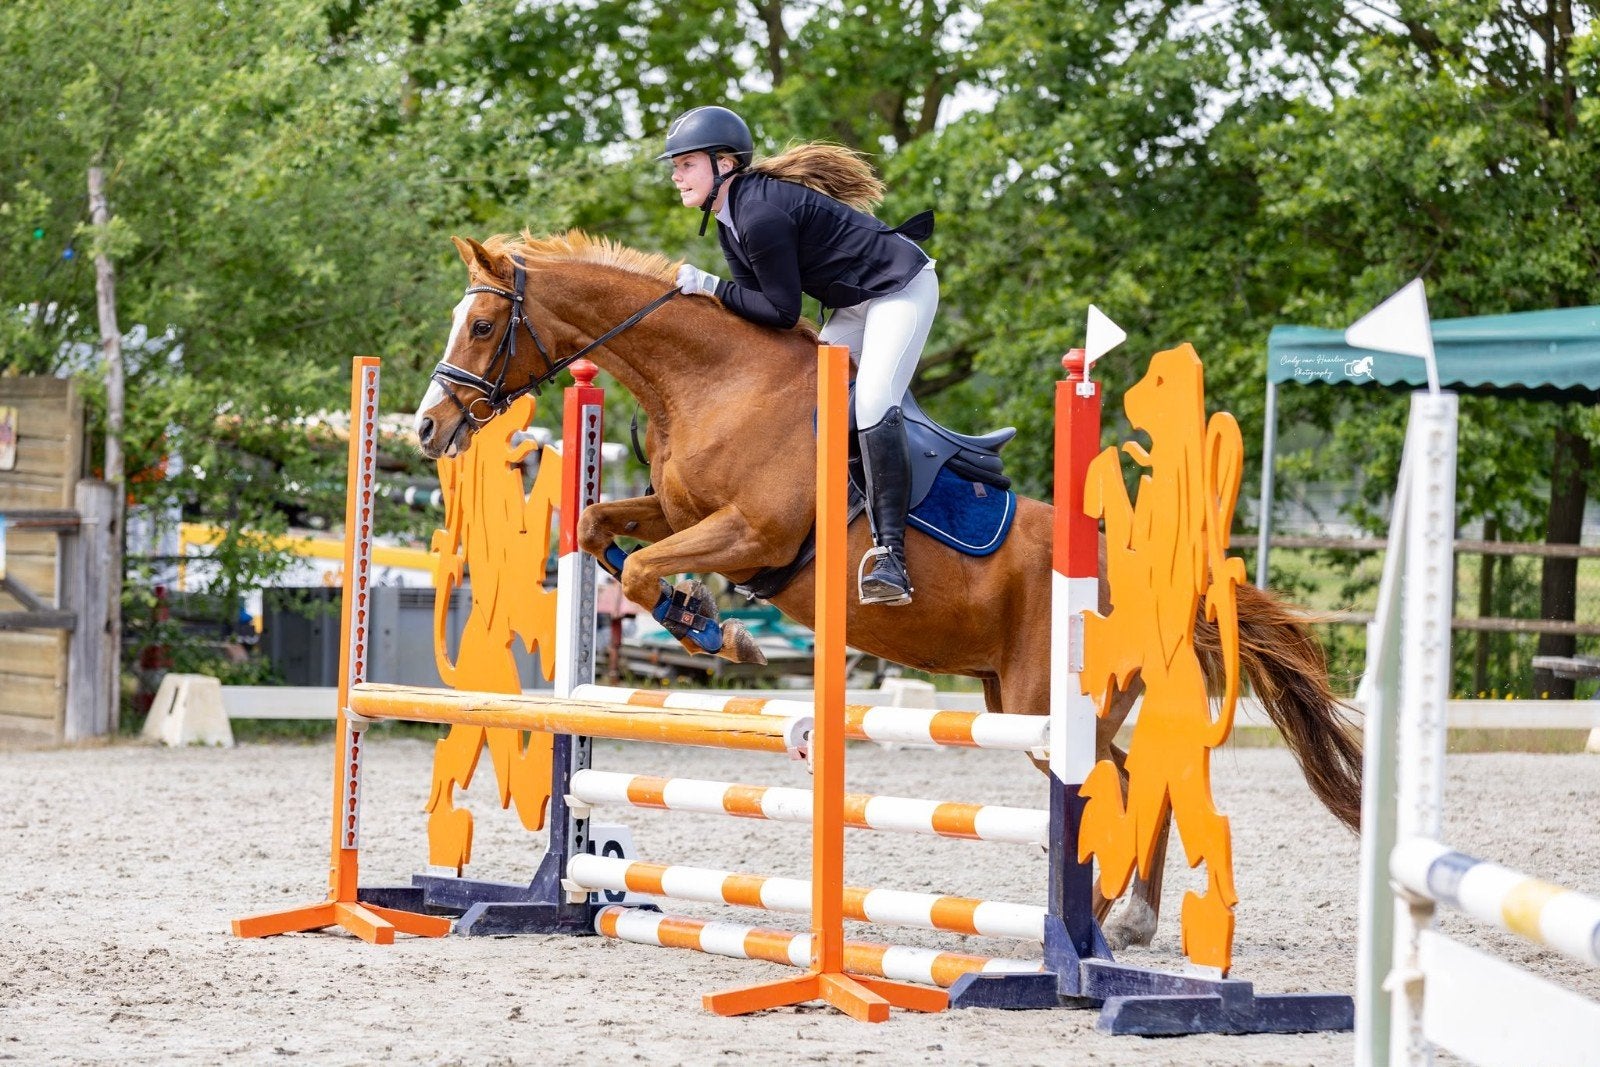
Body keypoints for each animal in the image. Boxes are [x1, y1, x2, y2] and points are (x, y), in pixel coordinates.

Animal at [412, 230, 1363, 950]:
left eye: (484, 323)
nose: (428, 426)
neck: (715, 382)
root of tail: (1150, 579)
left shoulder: (751, 533)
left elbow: (649, 569)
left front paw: (716, 629)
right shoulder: (677, 510)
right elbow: (601, 528)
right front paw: (698, 616)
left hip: (1046, 704)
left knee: (1118, 785)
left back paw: (1099, 928)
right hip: (1019, 700)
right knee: (1126, 781)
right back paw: (1111, 922)